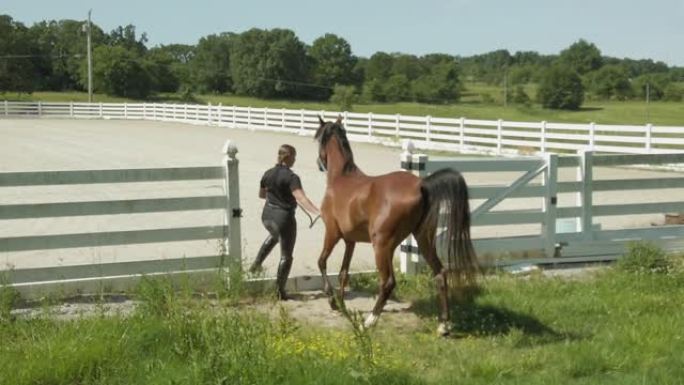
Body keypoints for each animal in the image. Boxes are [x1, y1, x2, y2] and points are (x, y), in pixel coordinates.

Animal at [314, 115, 478, 334]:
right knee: (440, 274)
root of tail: (421, 185)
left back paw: (370, 321)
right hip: (423, 241)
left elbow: (322, 262)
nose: (319, 163)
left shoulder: (332, 233)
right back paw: (443, 325)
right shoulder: (351, 241)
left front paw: (332, 300)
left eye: (319, 138)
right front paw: (340, 304)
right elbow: (343, 273)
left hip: (382, 246)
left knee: (388, 282)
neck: (342, 178)